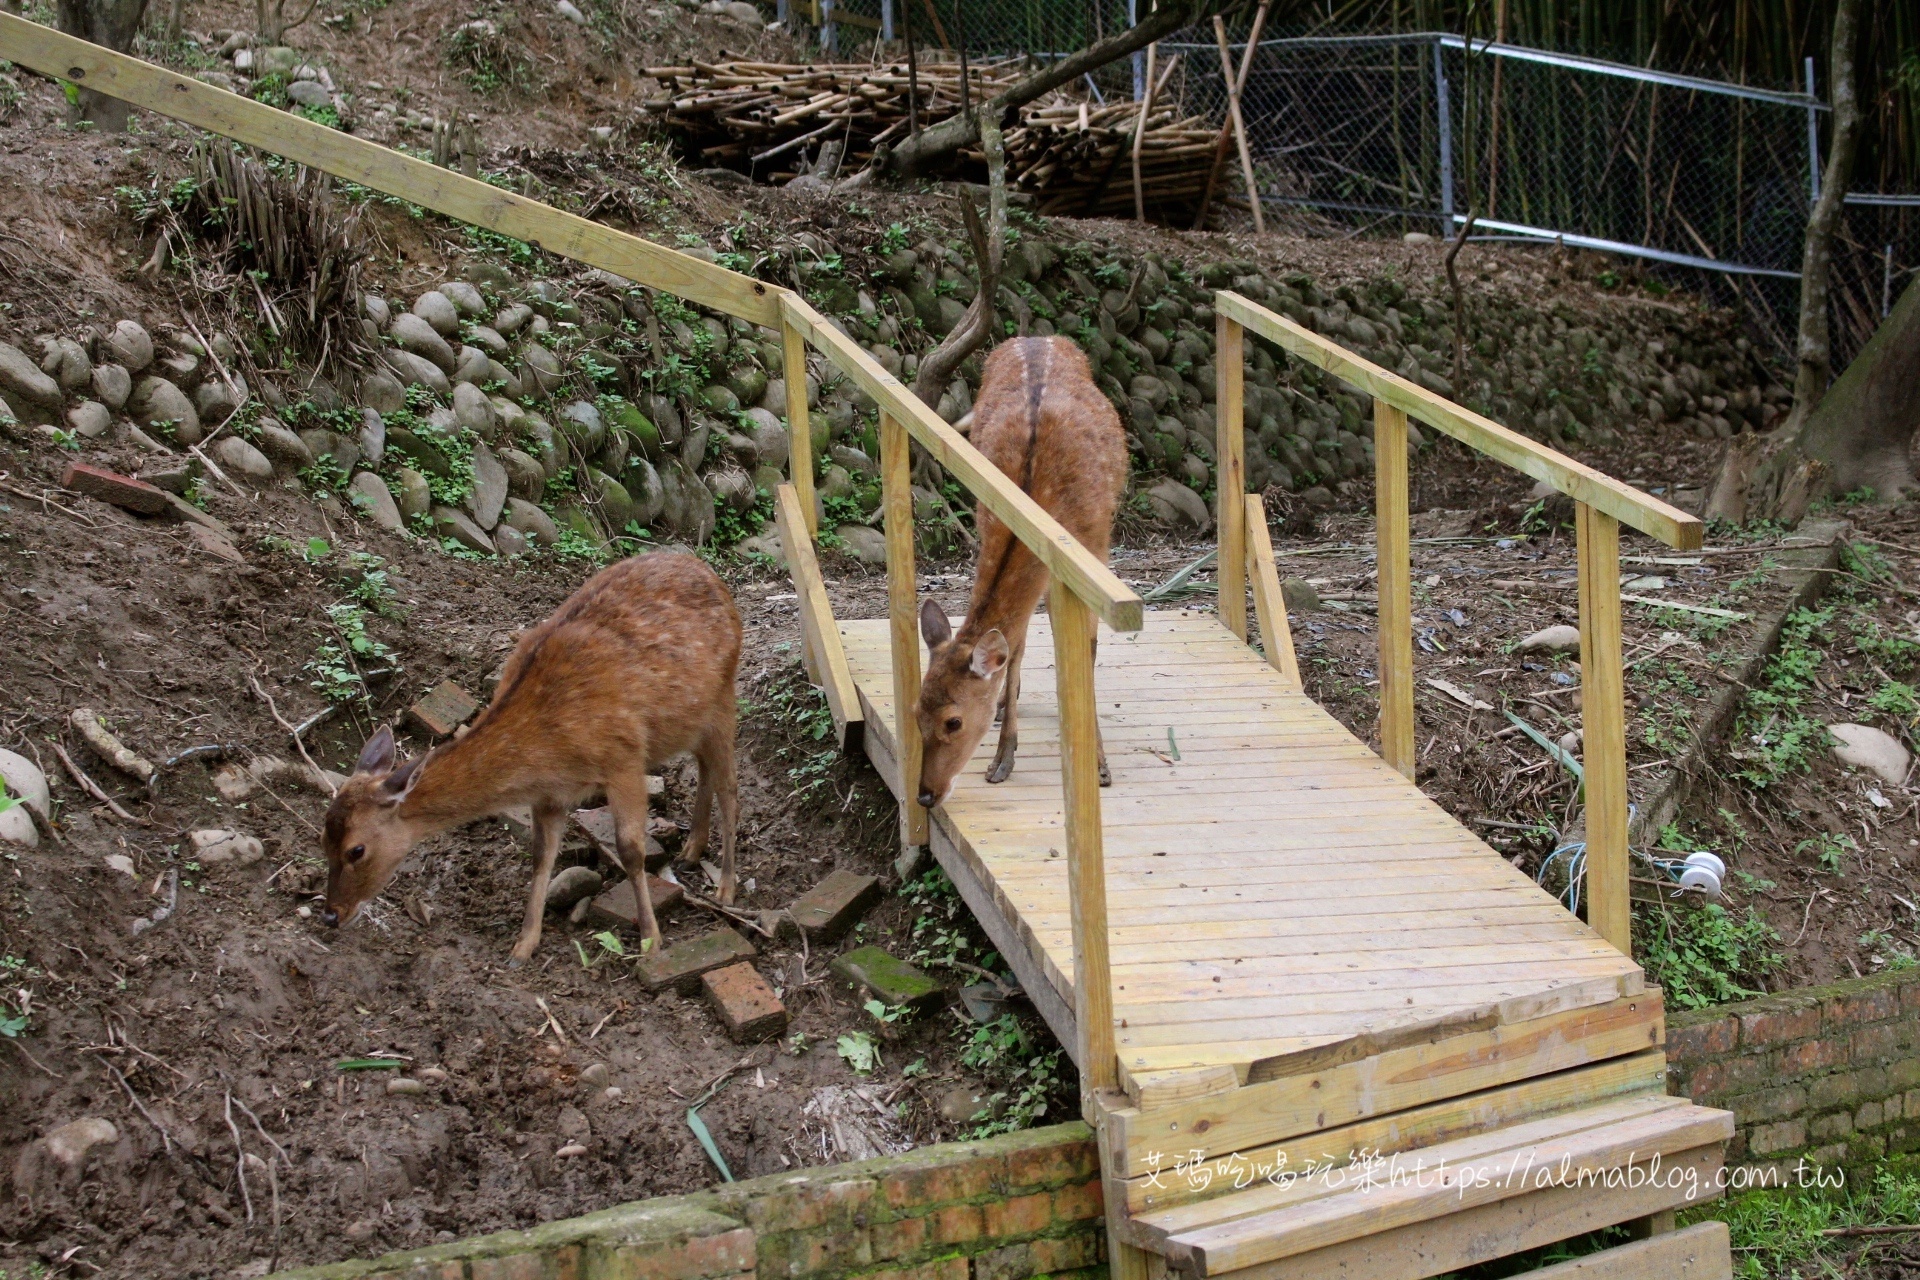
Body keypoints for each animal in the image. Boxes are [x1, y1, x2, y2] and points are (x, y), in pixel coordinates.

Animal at [318, 552, 737, 959]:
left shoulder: (625, 758)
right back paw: (690, 850)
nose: (331, 914)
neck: (548, 751)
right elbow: (541, 856)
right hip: (690, 720)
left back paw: (726, 888)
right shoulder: (549, 795)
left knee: (729, 787)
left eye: (357, 850)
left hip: (724, 697)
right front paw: (523, 946)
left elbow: (631, 851)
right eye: (322, 838)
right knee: (705, 769)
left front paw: (651, 940)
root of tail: (711, 573)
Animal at [910, 335, 1121, 805]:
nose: (926, 795)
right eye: (914, 713)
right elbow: (1018, 645)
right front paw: (1003, 759)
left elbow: (1086, 648)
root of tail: (1035, 336)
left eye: (953, 721)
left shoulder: (1093, 550)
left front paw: (1099, 764)